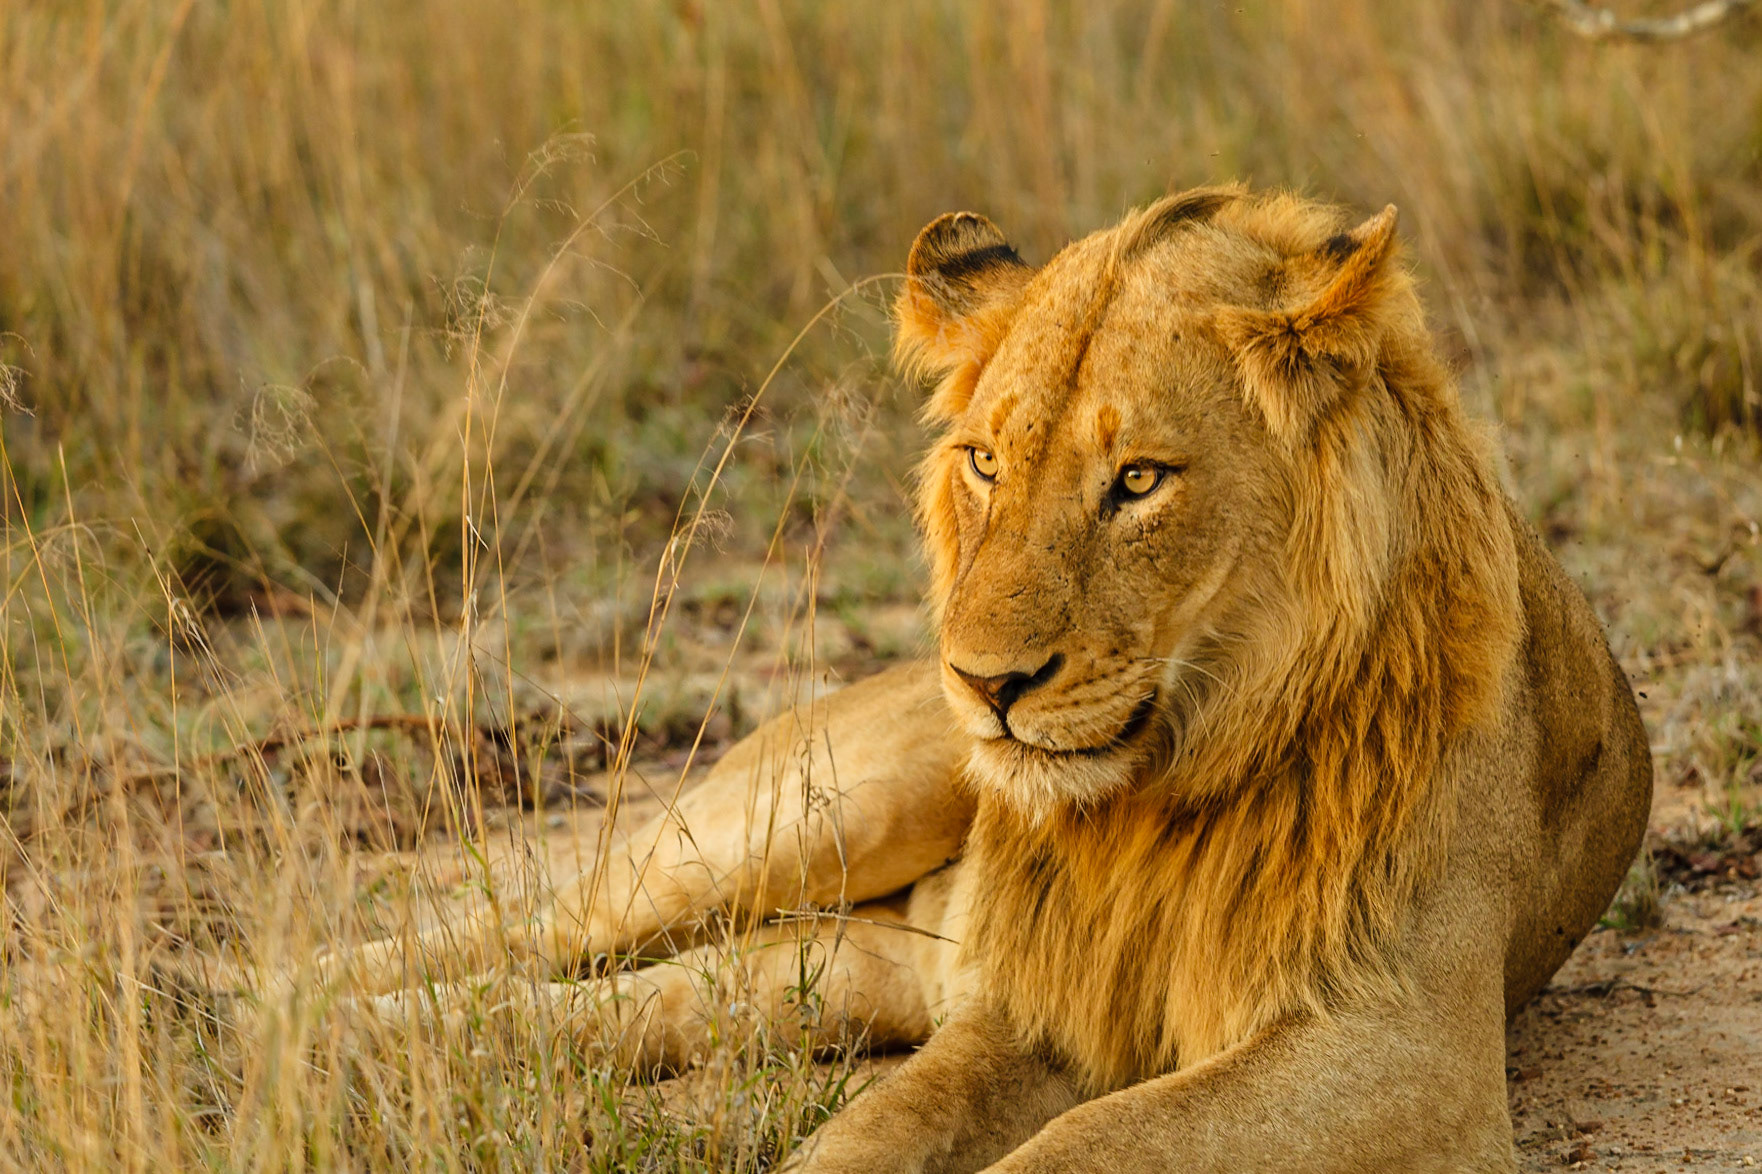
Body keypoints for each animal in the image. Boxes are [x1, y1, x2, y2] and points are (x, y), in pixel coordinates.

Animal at [309, 186, 1652, 1172]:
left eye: (1138, 479)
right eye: (987, 463)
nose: (987, 683)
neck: (1165, 790)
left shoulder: (1400, 1041)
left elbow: (1092, 1144)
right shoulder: (1025, 1006)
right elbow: (880, 1127)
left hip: (839, 971)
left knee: (627, 1001)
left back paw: (336, 1040)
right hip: (832, 808)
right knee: (530, 921)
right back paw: (275, 999)